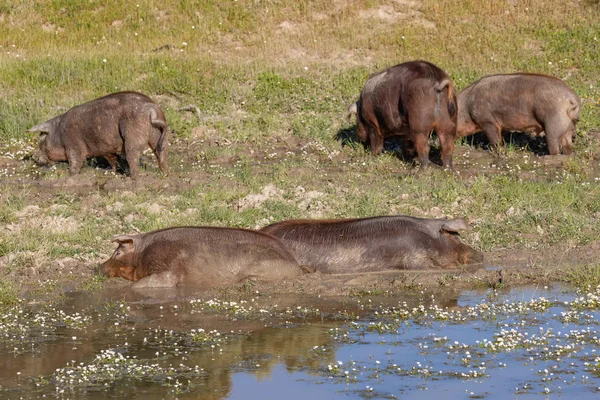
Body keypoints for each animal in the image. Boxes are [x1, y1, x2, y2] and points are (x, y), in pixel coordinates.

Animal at [27, 91, 169, 179]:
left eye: (41, 138)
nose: (33, 156)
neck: (59, 134)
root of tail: (152, 109)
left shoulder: (74, 145)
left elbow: (75, 162)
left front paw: (69, 175)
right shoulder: (106, 149)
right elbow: (113, 159)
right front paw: (112, 171)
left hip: (133, 134)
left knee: (133, 157)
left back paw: (132, 178)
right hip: (157, 135)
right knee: (160, 153)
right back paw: (165, 173)